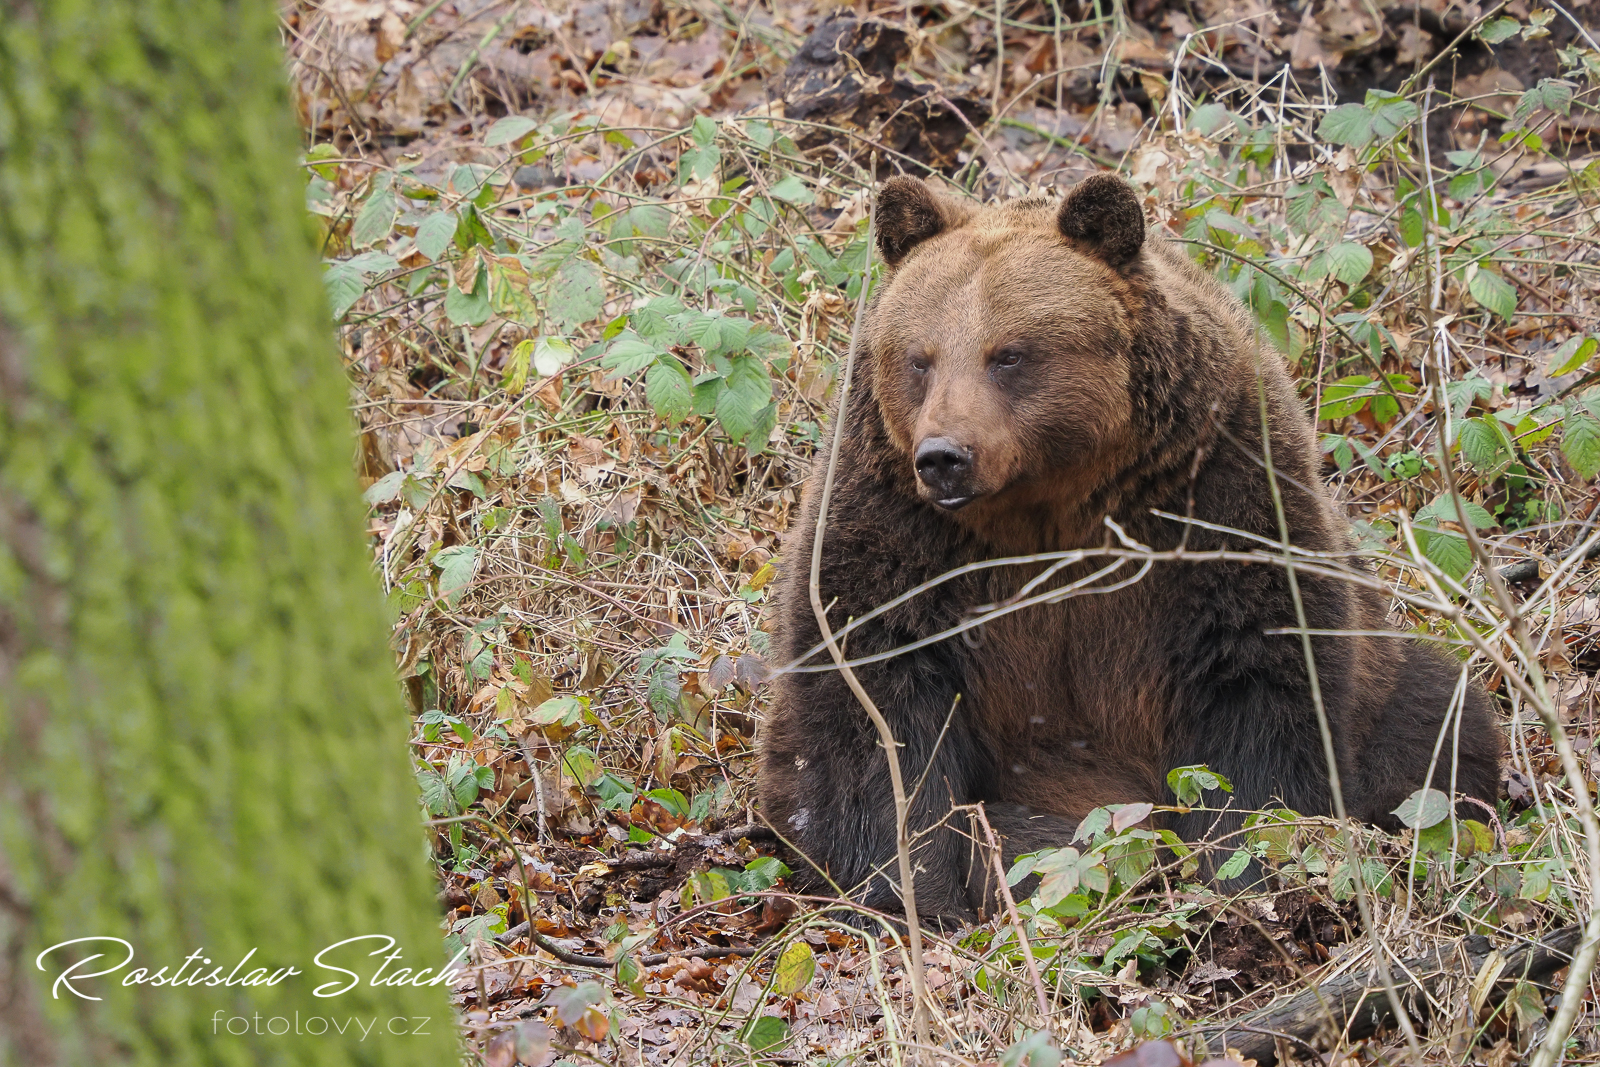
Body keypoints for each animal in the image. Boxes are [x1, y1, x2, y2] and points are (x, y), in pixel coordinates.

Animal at [758, 173, 1497, 927]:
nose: (944, 457)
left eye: (1010, 353)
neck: (1050, 508)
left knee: (1439, 720)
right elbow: (875, 708)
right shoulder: (898, 528)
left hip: (1388, 677)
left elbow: (1262, 674)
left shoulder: (1217, 494)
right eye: (919, 358)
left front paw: (1247, 872)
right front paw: (911, 894)